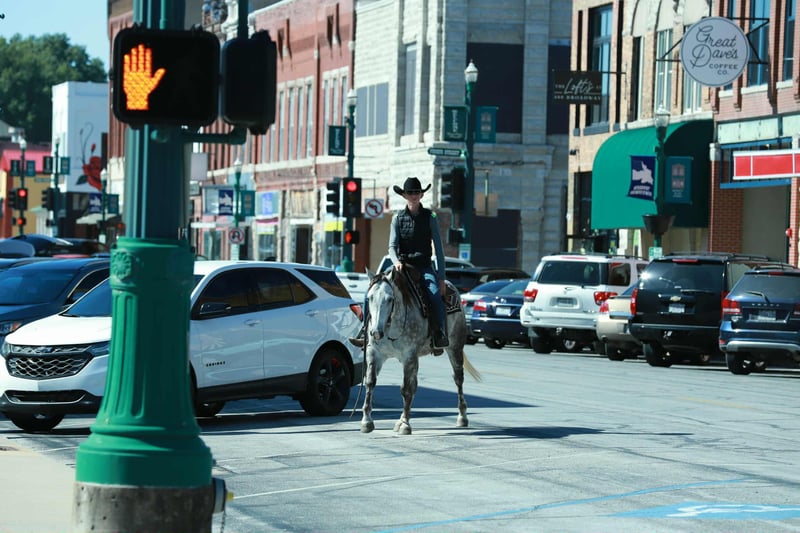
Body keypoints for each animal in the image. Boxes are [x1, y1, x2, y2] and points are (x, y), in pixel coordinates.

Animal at [359, 266, 482, 435]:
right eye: (370, 298)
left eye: (390, 299)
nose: (376, 333)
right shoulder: (375, 353)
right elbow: (370, 382)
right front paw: (367, 421)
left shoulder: (408, 356)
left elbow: (405, 389)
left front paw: (404, 424)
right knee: (415, 384)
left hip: (455, 347)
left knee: (458, 378)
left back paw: (462, 417)